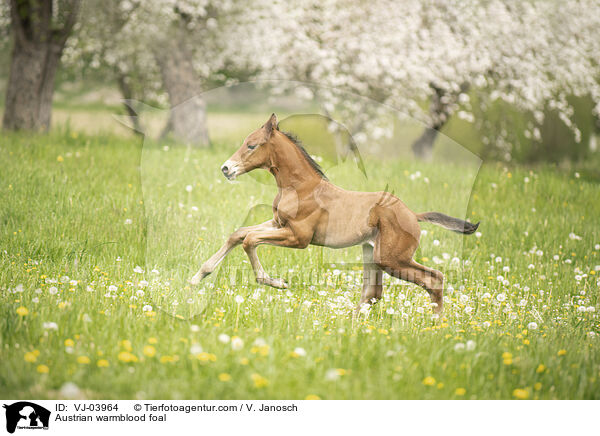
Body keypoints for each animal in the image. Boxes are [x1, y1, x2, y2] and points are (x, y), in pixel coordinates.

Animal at [192, 114, 478, 314]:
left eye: (252, 145)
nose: (226, 168)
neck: (301, 187)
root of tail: (412, 214)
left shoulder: (299, 238)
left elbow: (250, 240)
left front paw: (278, 283)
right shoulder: (278, 223)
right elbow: (239, 234)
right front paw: (198, 276)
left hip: (392, 259)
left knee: (434, 279)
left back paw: (436, 324)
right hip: (373, 255)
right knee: (373, 293)